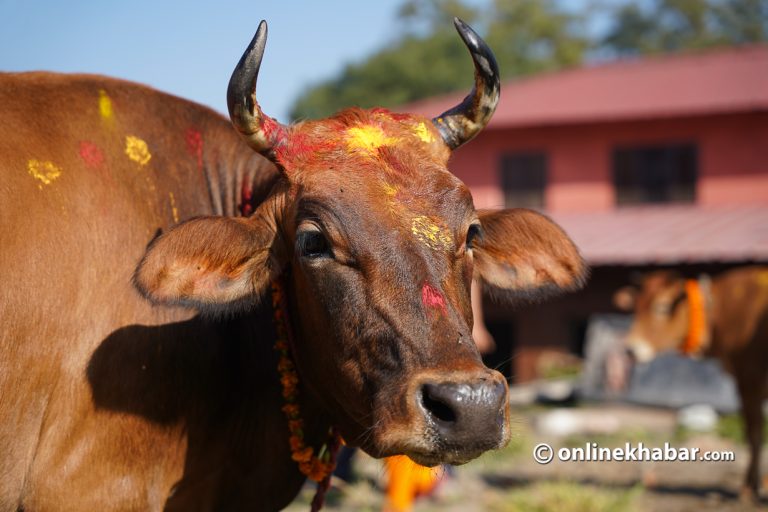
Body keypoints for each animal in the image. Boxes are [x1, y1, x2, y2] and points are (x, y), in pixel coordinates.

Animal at [616, 268, 768, 500]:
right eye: (636, 307)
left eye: (661, 307)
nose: (630, 349)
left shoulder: (748, 378)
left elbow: (754, 434)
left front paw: (749, 487)